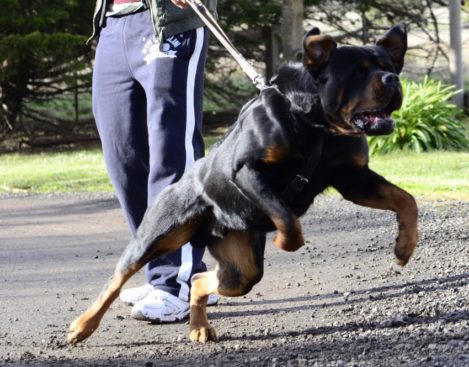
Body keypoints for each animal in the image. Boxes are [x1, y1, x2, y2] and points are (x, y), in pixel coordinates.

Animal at [66, 24, 416, 346]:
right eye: (358, 71)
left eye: (388, 65)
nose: (392, 80)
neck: (317, 126)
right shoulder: (248, 171)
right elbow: (288, 217)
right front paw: (285, 241)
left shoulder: (354, 179)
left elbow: (405, 200)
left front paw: (404, 246)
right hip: (158, 234)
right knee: (116, 279)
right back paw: (82, 326)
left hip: (241, 269)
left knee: (201, 279)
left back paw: (199, 326)